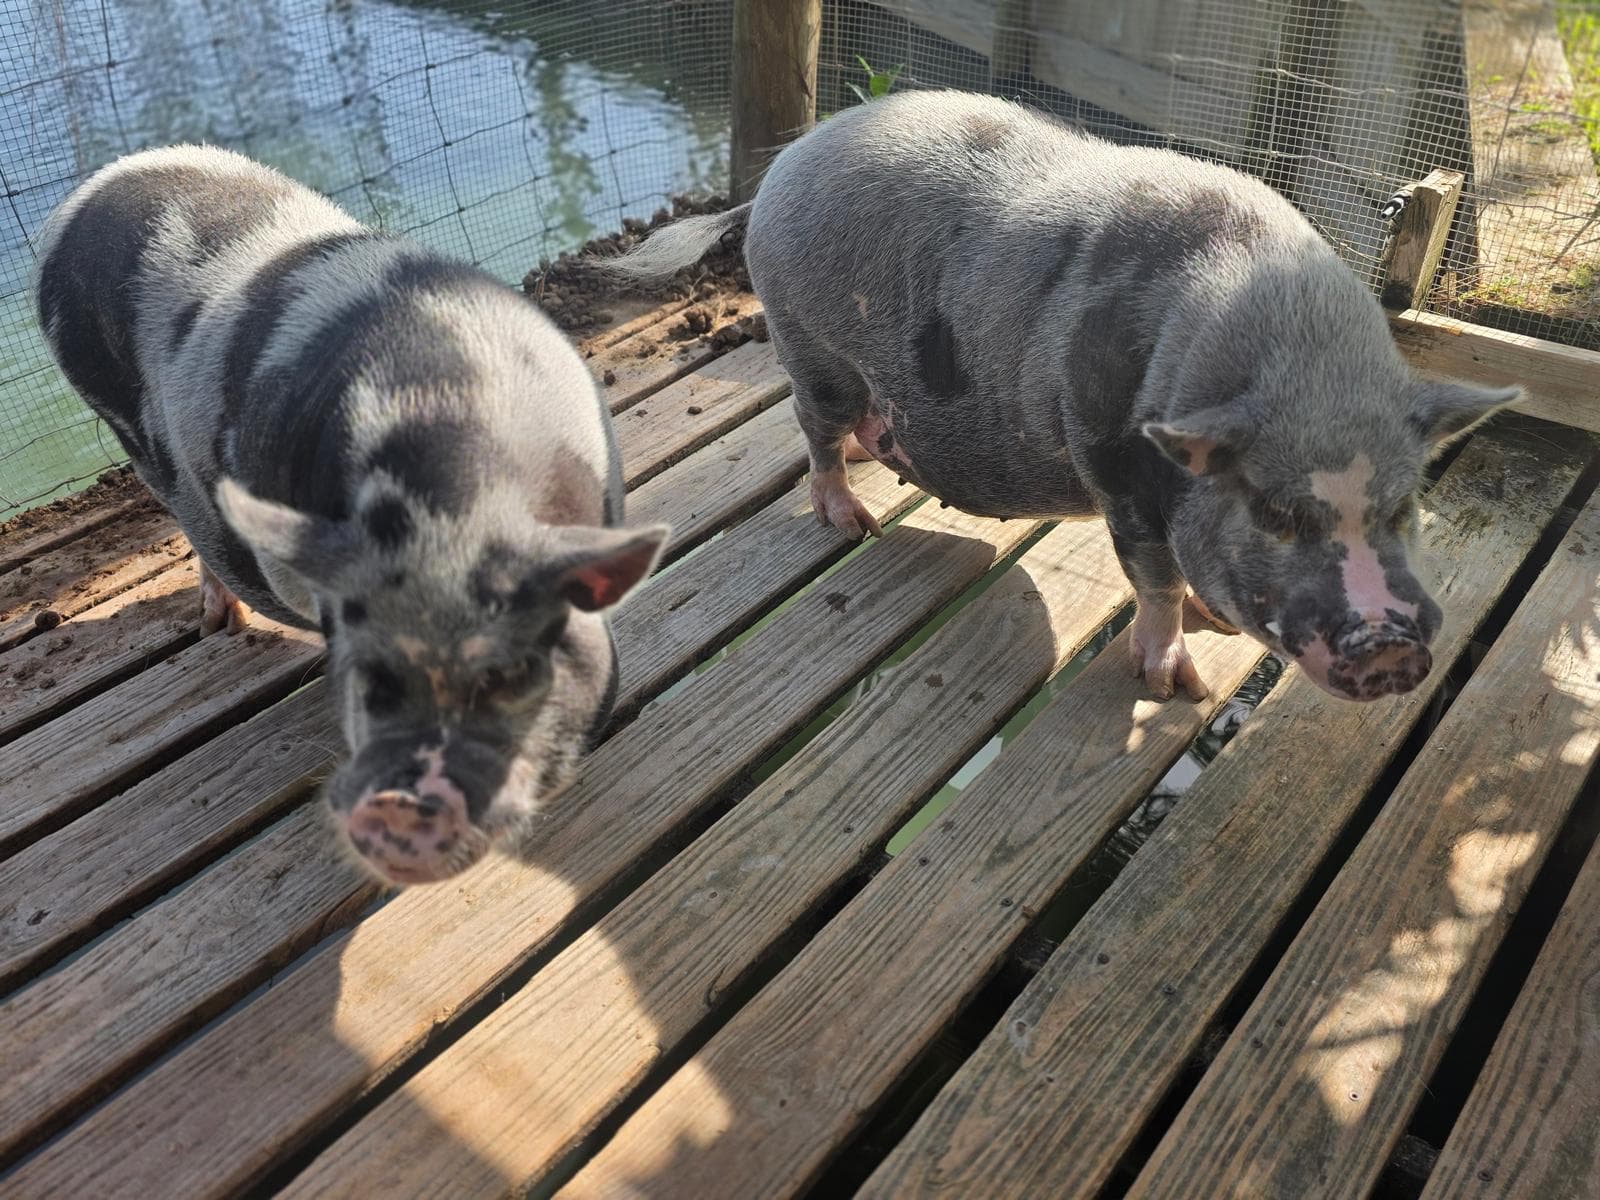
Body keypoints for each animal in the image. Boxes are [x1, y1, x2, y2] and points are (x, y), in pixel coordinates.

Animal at [33, 145, 668, 885]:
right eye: (365, 675)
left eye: (507, 673)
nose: (396, 804)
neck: (459, 511)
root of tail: (92, 185)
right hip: (120, 426)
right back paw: (219, 623)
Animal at [601, 90, 1520, 703]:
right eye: (1273, 512)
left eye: (1403, 507)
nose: (1390, 644)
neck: (1296, 357)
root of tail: (780, 169)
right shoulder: (1110, 458)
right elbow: (1151, 578)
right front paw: (1176, 685)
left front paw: (1216, 629)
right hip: (807, 339)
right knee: (814, 432)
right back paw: (850, 519)